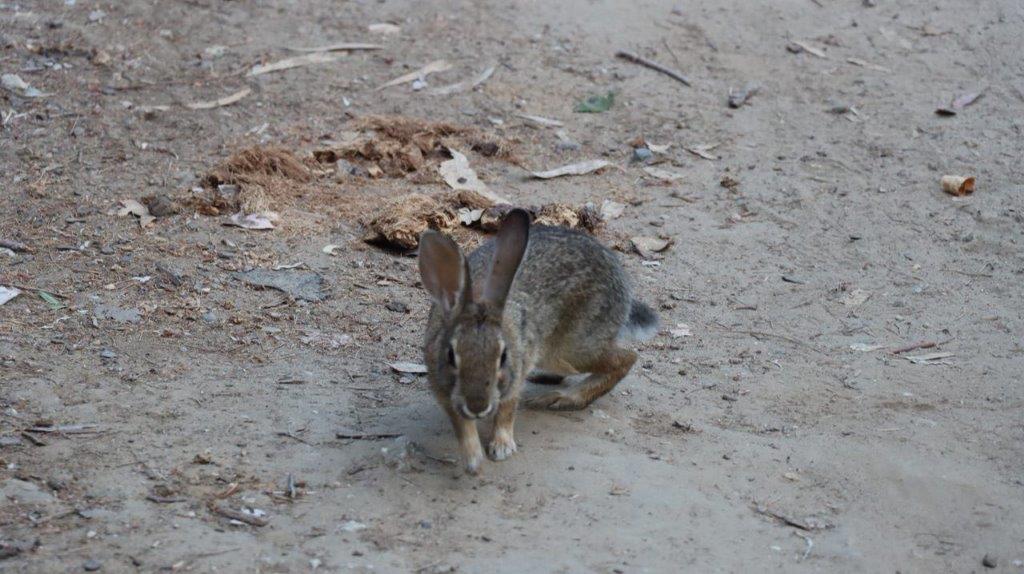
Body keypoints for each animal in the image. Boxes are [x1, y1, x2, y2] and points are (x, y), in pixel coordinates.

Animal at [419, 207, 659, 472]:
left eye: (503, 357)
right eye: (451, 355)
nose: (478, 406)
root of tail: (623, 289)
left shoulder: (515, 376)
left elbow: (506, 411)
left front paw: (501, 447)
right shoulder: (443, 389)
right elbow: (461, 425)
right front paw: (473, 459)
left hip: (571, 350)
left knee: (626, 358)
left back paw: (563, 398)